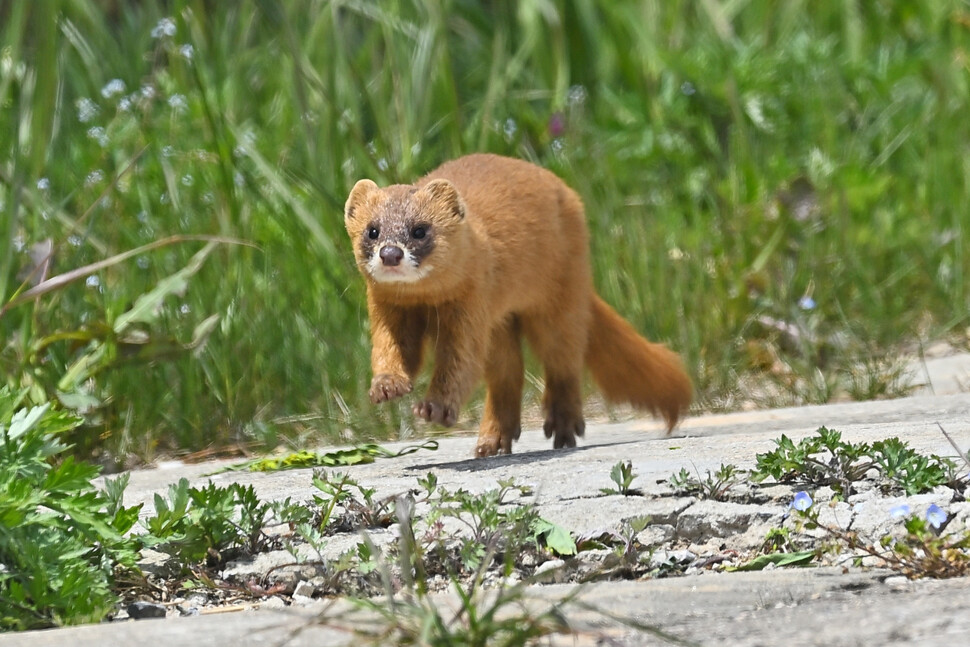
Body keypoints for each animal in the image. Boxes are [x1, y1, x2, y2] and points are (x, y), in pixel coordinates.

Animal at [340, 153, 688, 456]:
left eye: (420, 229)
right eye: (372, 230)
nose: (390, 254)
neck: (425, 302)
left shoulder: (470, 309)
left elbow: (460, 363)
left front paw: (435, 408)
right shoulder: (389, 311)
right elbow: (391, 352)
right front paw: (387, 386)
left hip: (559, 300)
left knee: (564, 360)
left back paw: (563, 426)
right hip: (500, 325)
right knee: (508, 373)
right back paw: (492, 440)